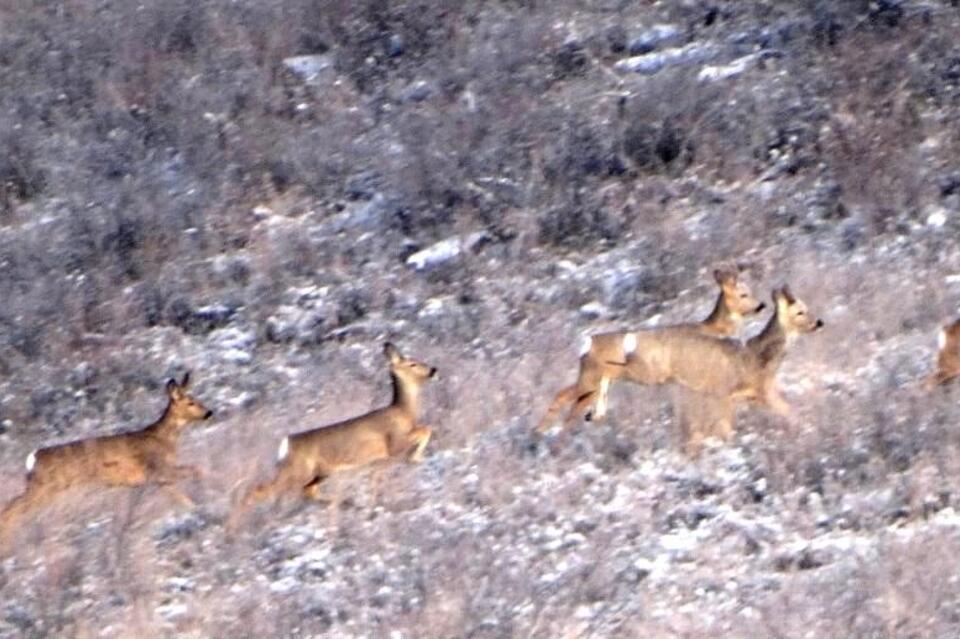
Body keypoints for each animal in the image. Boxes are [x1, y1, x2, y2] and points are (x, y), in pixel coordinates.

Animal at [0, 376, 212, 544]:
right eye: (191, 402)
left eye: (196, 399)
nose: (208, 412)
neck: (165, 439)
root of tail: (34, 457)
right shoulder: (159, 469)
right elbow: (197, 469)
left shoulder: (159, 478)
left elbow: (182, 494)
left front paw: (196, 507)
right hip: (43, 488)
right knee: (11, 510)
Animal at [231, 342, 440, 528]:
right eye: (412, 363)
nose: (433, 369)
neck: (404, 412)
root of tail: (286, 444)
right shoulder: (394, 442)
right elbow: (426, 429)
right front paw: (416, 457)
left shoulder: (380, 460)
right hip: (297, 472)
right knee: (256, 491)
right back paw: (231, 531)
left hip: (318, 473)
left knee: (308, 493)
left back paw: (346, 501)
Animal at [536, 268, 760, 432]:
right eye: (743, 294)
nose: (761, 306)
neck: (712, 329)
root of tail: (587, 344)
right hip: (590, 377)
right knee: (563, 399)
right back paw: (541, 433)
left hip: (601, 382)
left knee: (584, 410)